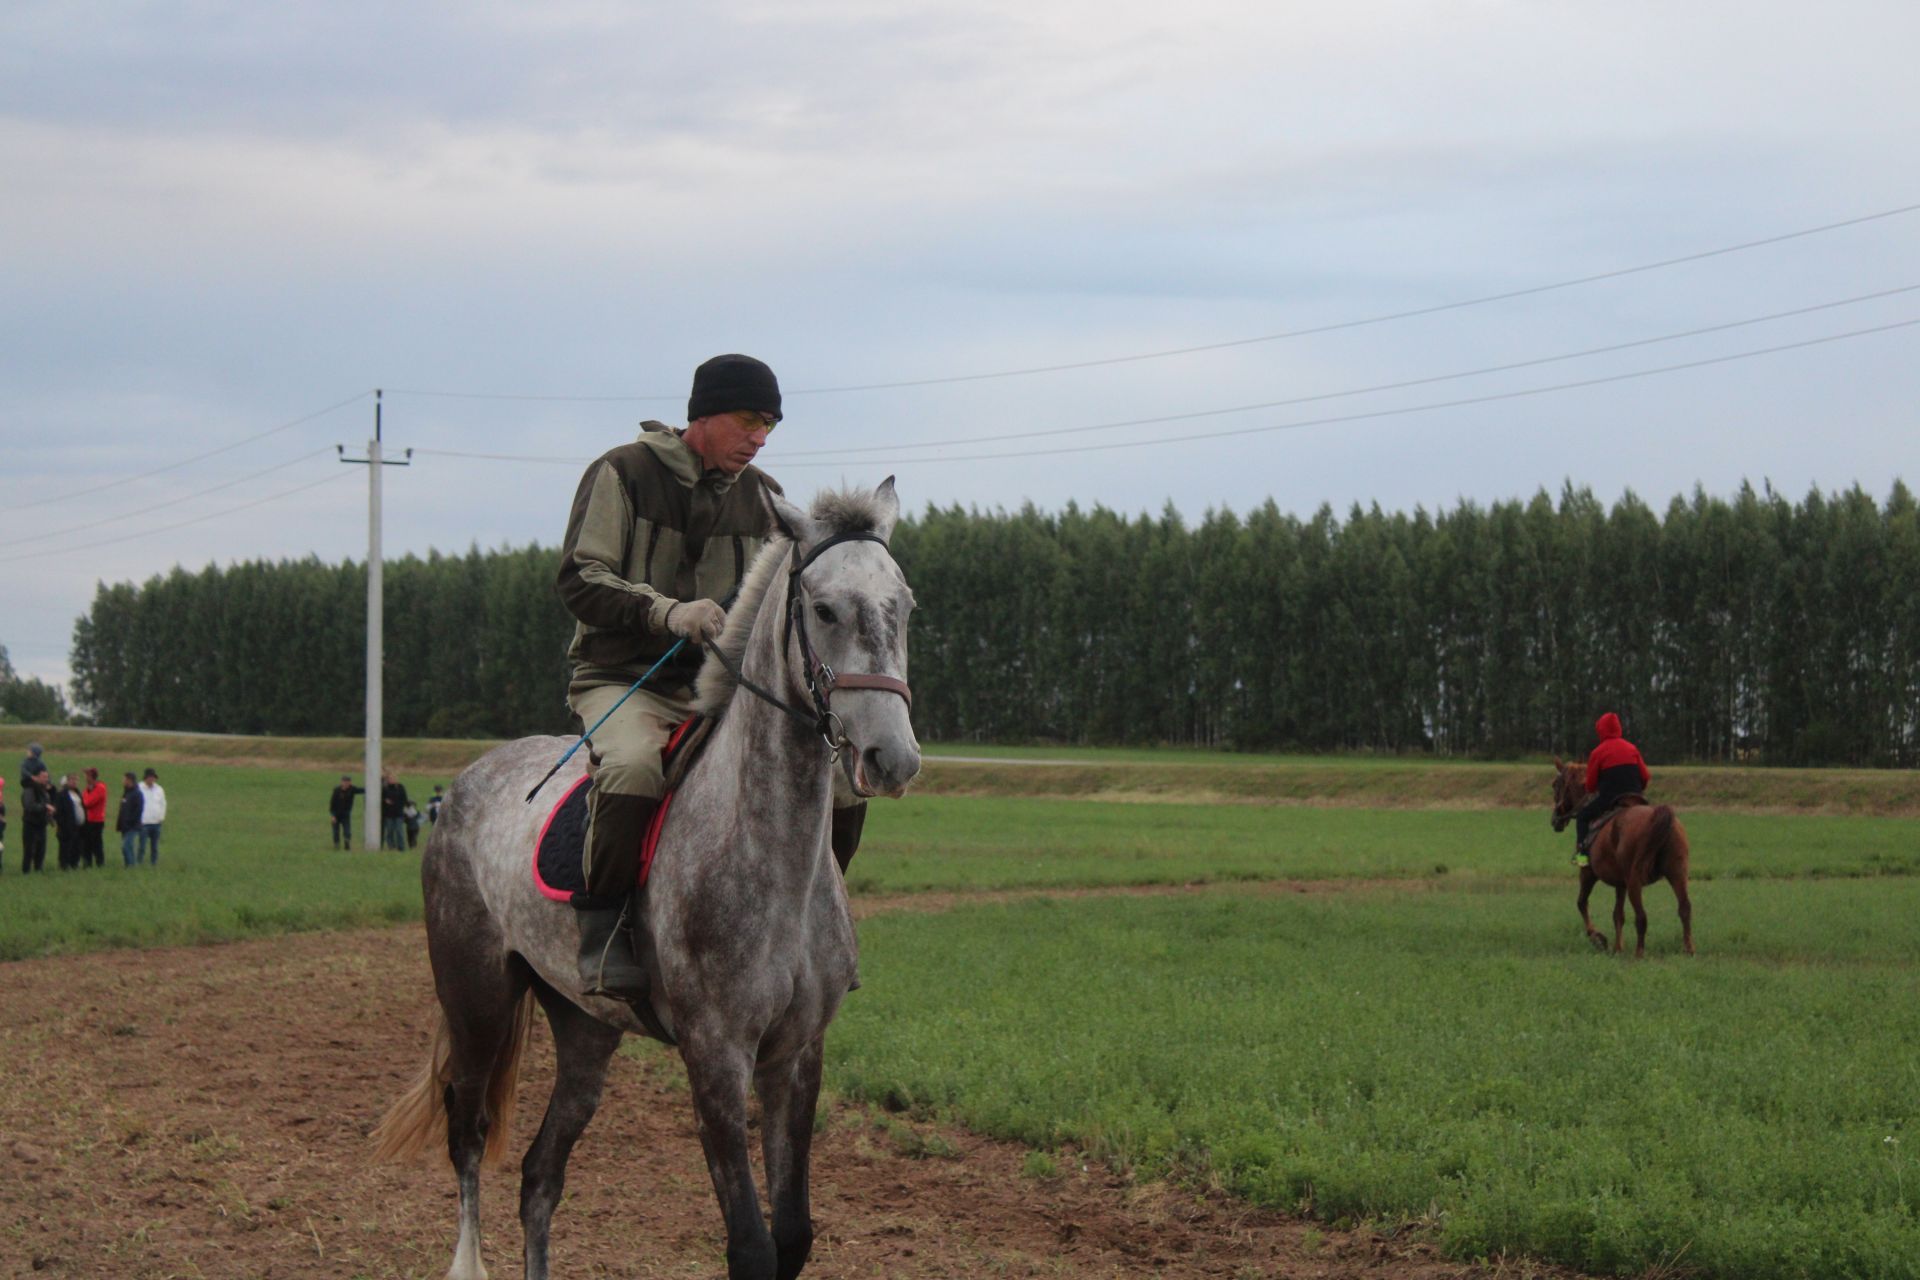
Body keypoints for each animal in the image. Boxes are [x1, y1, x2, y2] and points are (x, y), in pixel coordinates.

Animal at [376, 483, 921, 1280]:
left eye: (905, 605)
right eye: (823, 610)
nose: (893, 758)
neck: (772, 859)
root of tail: (468, 782)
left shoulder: (796, 1055)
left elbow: (792, 1236)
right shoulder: (715, 1055)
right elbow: (752, 1246)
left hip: (585, 1029)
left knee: (540, 1176)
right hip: (477, 999)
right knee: (468, 1135)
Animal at [1551, 756, 1689, 955]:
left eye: (1555, 785)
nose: (1555, 820)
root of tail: (1658, 815)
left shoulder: (1588, 873)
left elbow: (1582, 903)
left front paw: (1598, 938)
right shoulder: (1620, 883)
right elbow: (1618, 914)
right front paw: (1618, 947)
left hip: (1635, 881)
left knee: (1641, 917)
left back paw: (1639, 954)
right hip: (1677, 874)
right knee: (1685, 908)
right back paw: (1689, 949)